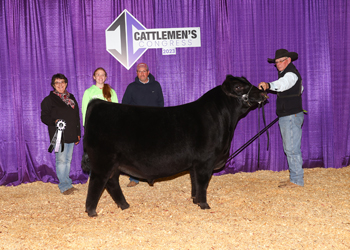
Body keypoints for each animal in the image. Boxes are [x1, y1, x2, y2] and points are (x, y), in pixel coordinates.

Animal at [82, 75, 268, 217]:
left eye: (246, 81)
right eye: (238, 86)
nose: (262, 92)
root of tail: (97, 104)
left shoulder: (195, 164)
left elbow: (195, 182)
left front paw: (195, 200)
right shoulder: (205, 161)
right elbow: (202, 183)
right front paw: (204, 205)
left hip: (113, 163)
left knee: (111, 182)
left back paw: (124, 205)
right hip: (103, 161)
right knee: (97, 182)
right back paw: (92, 212)